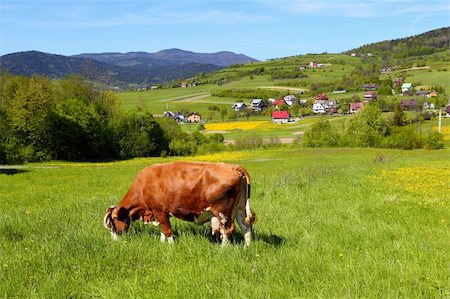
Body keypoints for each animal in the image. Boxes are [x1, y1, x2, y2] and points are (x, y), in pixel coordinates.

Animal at [103, 162, 255, 246]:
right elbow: (163, 229)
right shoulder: (159, 213)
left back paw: (223, 249)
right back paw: (247, 247)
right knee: (245, 226)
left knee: (228, 230)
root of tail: (234, 167)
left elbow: (167, 230)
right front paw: (162, 243)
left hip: (223, 211)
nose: (114, 242)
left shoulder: (159, 210)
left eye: (111, 224)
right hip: (240, 208)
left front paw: (171, 246)